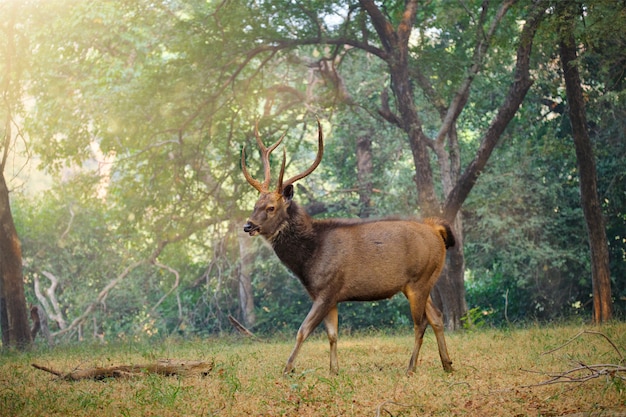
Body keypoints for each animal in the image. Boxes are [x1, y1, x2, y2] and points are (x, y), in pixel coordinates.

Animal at [241, 119, 450, 374]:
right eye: (255, 204)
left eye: (271, 207)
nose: (248, 226)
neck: (309, 258)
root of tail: (437, 231)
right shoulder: (329, 297)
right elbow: (332, 335)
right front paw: (334, 371)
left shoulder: (328, 288)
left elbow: (302, 331)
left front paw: (287, 369)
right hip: (423, 282)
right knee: (437, 317)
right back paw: (448, 364)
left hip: (419, 279)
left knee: (420, 323)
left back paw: (411, 368)